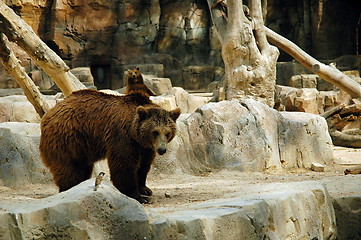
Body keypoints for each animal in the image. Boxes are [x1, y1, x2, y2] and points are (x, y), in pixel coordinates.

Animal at [39, 89, 180, 203]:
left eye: (167, 132)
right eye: (155, 131)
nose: (162, 149)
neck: (135, 134)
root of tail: (49, 113)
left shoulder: (144, 147)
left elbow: (144, 165)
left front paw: (145, 189)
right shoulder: (123, 136)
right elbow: (124, 164)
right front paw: (138, 196)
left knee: (83, 165)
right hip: (68, 136)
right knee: (69, 166)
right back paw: (70, 188)